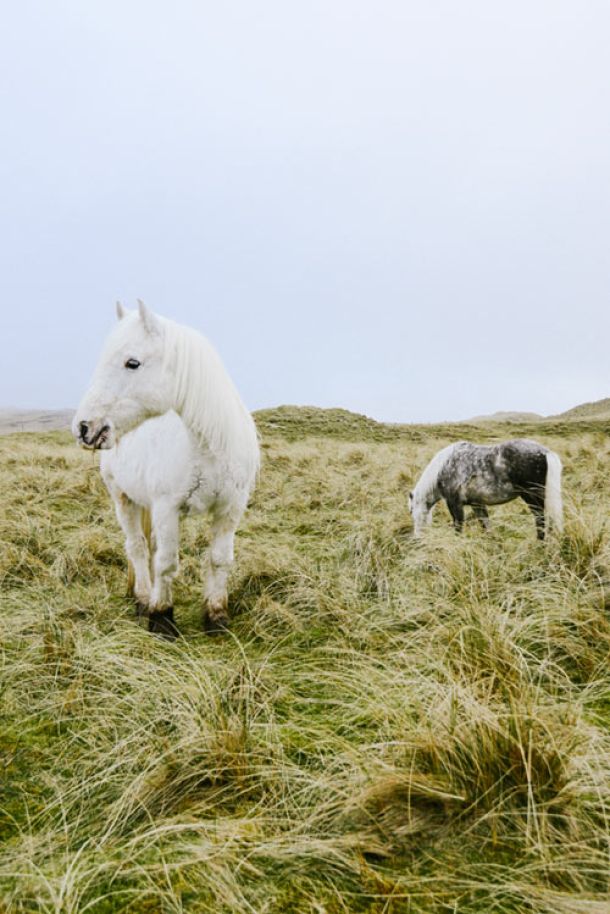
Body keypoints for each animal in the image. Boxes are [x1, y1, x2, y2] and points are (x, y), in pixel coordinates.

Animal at [72, 300, 258, 636]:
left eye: (132, 363)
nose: (83, 427)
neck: (207, 447)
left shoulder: (230, 509)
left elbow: (219, 559)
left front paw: (216, 616)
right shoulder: (166, 508)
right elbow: (167, 562)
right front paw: (162, 617)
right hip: (122, 498)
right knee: (138, 547)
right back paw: (143, 598)